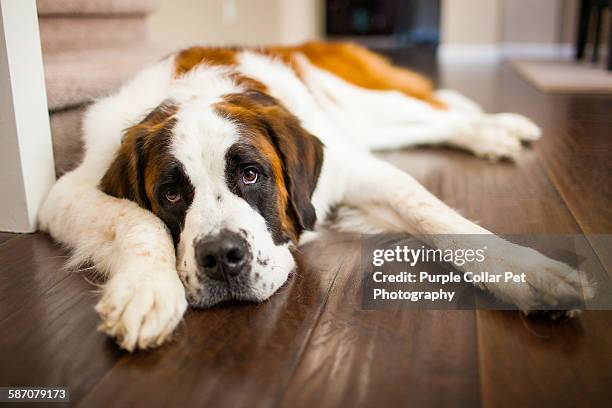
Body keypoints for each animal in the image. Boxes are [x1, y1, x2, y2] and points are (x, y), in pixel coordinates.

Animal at [38, 42, 592, 350]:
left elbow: (427, 208)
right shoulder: (66, 193)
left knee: (441, 110)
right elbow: (137, 220)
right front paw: (146, 289)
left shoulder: (354, 168)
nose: (220, 257)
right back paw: (494, 134)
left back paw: (502, 127)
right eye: (172, 194)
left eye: (251, 175)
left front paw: (529, 273)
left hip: (368, 104)